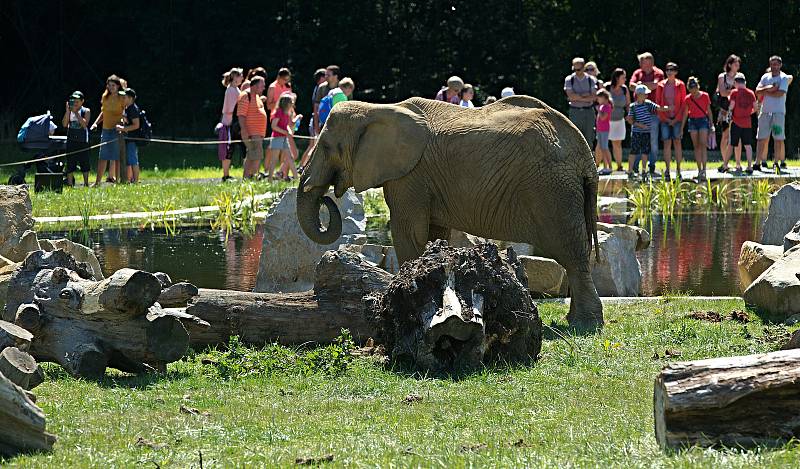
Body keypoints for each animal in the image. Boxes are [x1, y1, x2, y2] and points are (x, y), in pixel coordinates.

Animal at [296, 95, 604, 330]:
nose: (326, 198)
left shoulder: (409, 177)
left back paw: (584, 325)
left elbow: (408, 232)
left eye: (327, 147)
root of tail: (586, 156)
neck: (378, 108)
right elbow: (433, 235)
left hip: (553, 190)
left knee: (572, 254)